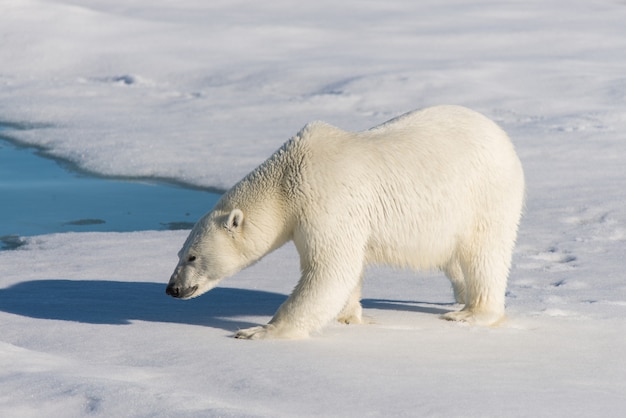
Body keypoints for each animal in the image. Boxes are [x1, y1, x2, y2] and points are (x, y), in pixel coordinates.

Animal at [165, 105, 520, 340]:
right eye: (179, 253)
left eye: (192, 256)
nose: (173, 288)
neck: (286, 179)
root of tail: (502, 136)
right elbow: (348, 269)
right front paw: (347, 319)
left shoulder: (325, 201)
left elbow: (331, 268)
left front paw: (259, 330)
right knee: (454, 259)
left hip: (484, 196)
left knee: (484, 254)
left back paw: (470, 314)